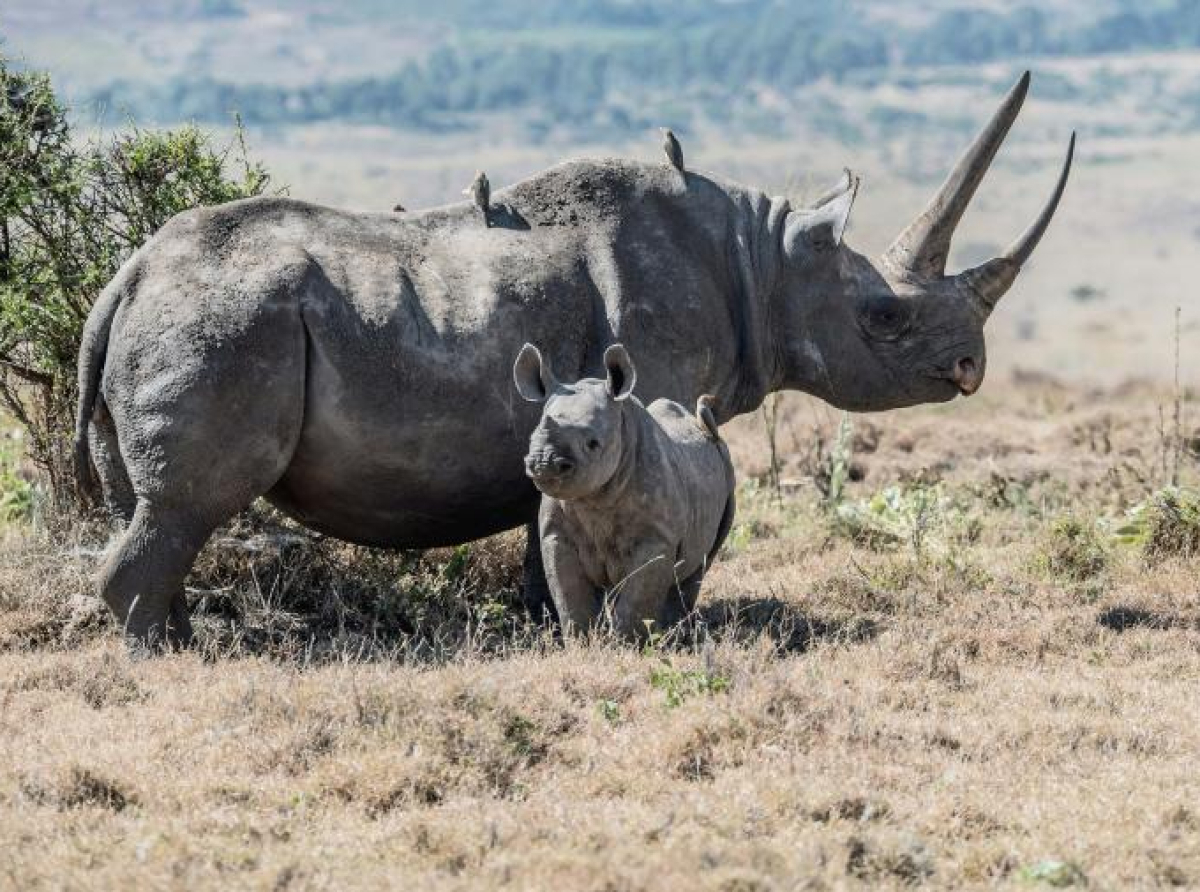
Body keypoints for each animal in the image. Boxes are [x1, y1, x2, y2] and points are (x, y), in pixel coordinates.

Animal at [513, 338, 734, 638]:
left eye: (593, 443)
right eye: (531, 437)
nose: (543, 463)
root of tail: (701, 427)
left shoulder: (657, 538)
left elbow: (637, 598)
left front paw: (626, 642)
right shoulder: (556, 534)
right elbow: (569, 594)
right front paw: (581, 640)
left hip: (726, 467)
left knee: (700, 563)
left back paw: (673, 632)